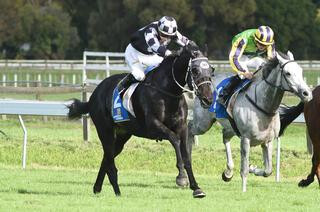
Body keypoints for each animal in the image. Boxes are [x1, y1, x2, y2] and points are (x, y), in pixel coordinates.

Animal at [67, 40, 212, 198]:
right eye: (195, 70)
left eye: (211, 70)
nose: (208, 98)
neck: (167, 91)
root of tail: (94, 95)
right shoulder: (153, 126)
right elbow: (174, 139)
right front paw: (181, 177)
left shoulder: (182, 127)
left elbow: (186, 155)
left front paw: (196, 188)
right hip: (105, 131)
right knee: (110, 160)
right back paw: (117, 191)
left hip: (123, 135)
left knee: (107, 157)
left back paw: (97, 188)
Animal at [188, 51, 312, 192]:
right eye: (288, 73)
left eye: (301, 71)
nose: (307, 93)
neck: (264, 106)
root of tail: (204, 83)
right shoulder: (245, 139)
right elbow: (244, 169)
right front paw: (243, 190)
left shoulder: (268, 141)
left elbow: (268, 170)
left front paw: (253, 168)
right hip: (203, 123)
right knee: (189, 127)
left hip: (230, 127)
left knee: (225, 137)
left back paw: (228, 172)